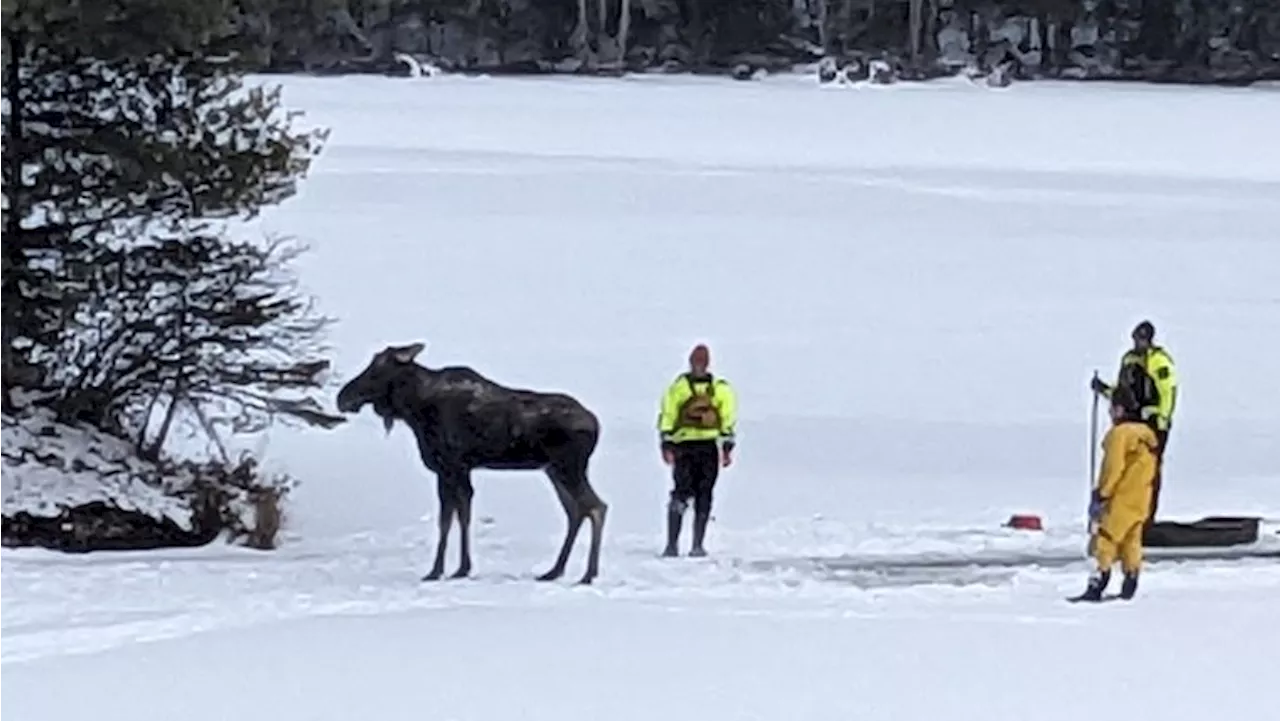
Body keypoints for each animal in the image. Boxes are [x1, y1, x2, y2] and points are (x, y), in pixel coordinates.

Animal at [332, 340, 606, 583]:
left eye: (377, 368)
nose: (342, 398)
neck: (414, 408)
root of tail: (596, 425)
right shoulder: (460, 469)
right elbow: (462, 514)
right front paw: (461, 568)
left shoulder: (448, 467)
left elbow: (446, 520)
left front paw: (437, 571)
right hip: (553, 470)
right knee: (576, 511)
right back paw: (554, 571)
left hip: (568, 468)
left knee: (595, 507)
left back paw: (587, 575)